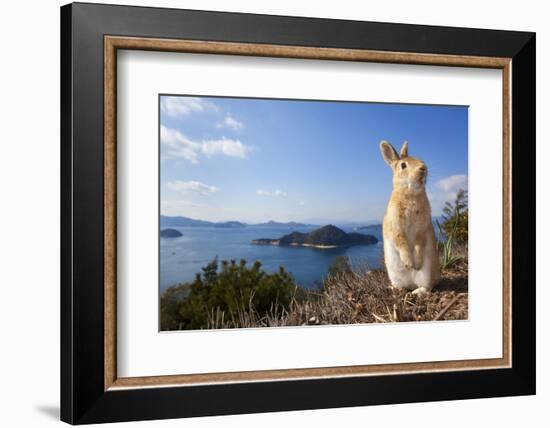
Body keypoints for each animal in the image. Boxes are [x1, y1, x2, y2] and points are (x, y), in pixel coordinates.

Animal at [382, 140, 442, 294]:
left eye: (420, 160)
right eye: (403, 165)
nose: (423, 168)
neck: (410, 194)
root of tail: (412, 284)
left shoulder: (422, 229)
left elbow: (419, 244)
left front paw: (416, 264)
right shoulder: (396, 227)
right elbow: (401, 242)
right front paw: (409, 263)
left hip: (427, 273)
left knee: (427, 287)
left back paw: (416, 292)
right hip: (394, 274)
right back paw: (396, 288)